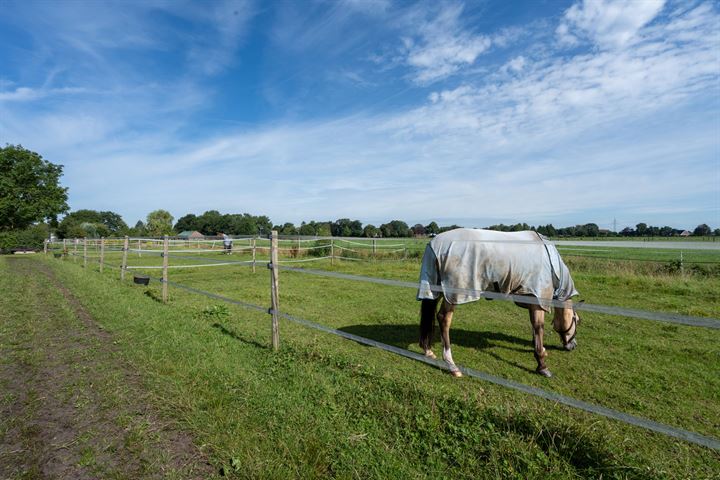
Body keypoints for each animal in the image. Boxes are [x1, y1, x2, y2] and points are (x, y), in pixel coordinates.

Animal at [416, 229, 580, 378]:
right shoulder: (538, 299)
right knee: (443, 318)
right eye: (577, 320)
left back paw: (428, 351)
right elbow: (539, 328)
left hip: (436, 290)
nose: (573, 346)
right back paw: (452, 365)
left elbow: (534, 328)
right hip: (453, 295)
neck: (551, 263)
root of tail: (434, 244)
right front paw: (542, 365)